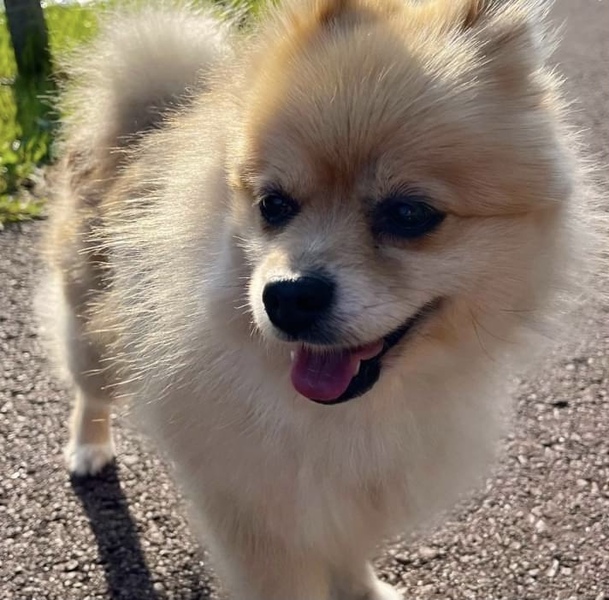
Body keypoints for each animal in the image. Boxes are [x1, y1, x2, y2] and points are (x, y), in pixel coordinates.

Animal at [40, 0, 595, 598]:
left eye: (410, 214)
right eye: (273, 205)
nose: (288, 296)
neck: (353, 413)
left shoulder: (350, 501)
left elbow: (348, 551)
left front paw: (365, 590)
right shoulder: (258, 520)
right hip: (93, 333)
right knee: (89, 390)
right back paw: (88, 447)